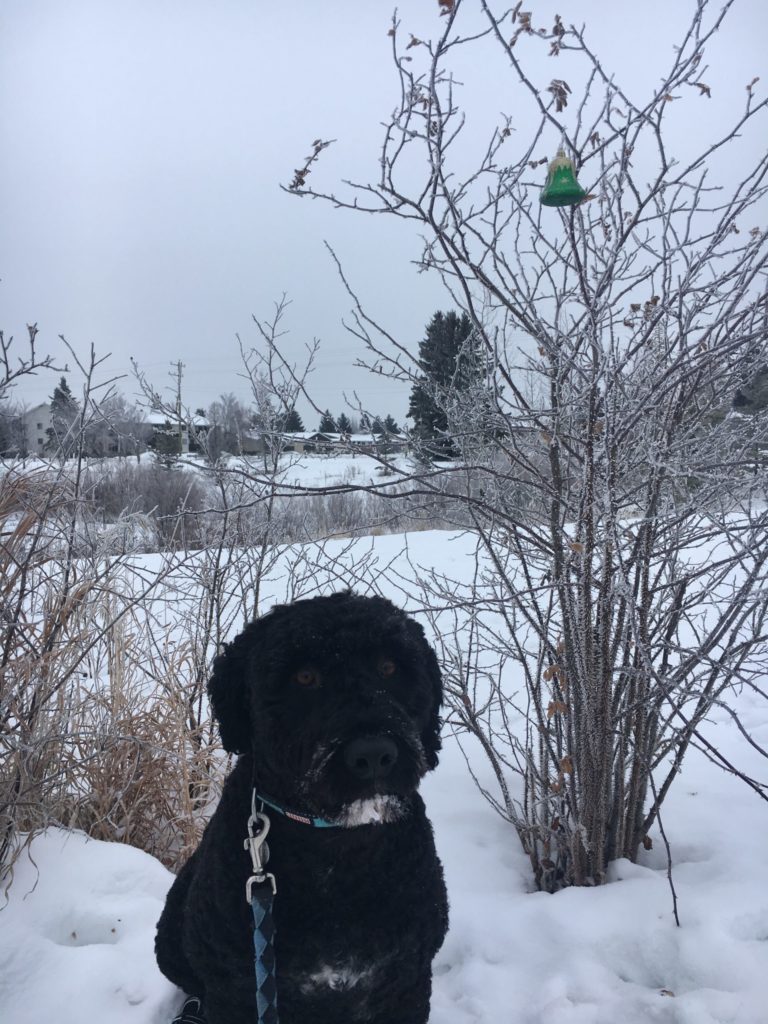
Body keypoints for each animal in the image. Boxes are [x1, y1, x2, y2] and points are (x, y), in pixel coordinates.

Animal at [156, 593, 448, 1024]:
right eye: (304, 677)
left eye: (389, 667)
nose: (374, 755)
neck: (336, 852)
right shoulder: (237, 991)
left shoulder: (405, 983)